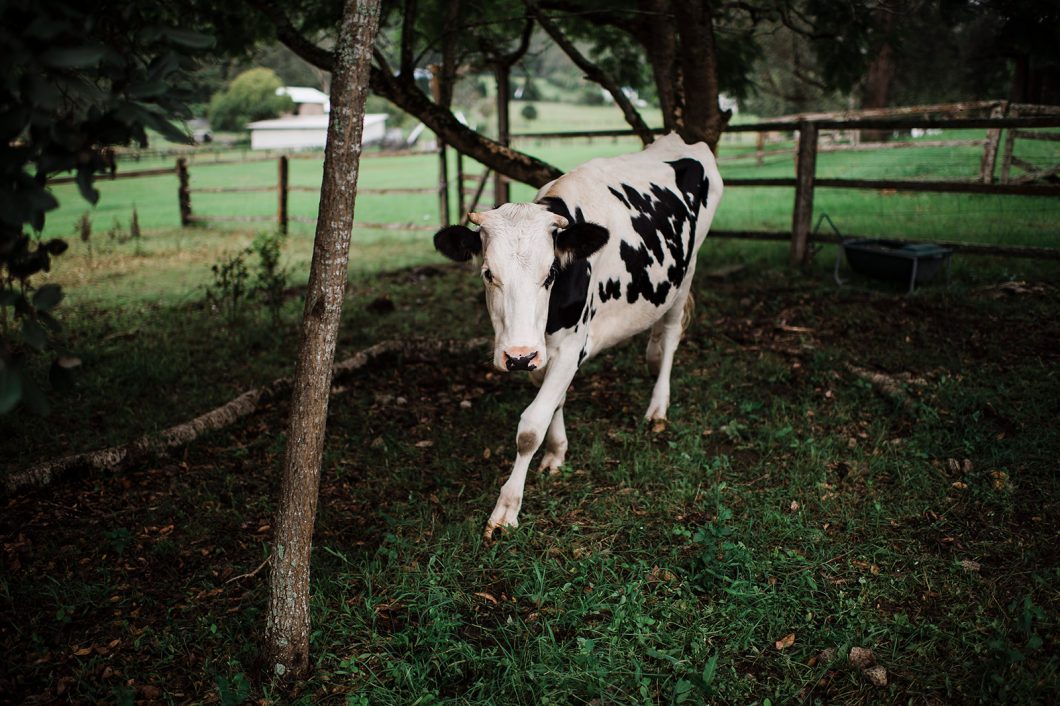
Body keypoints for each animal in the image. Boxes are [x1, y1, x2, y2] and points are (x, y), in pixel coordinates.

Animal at [430, 134, 720, 536]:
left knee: (673, 332)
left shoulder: (570, 345)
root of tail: (683, 139)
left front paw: (507, 509)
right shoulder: (541, 351)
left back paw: (658, 406)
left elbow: (530, 427)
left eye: (551, 272)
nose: (517, 356)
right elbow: (555, 400)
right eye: (488, 273)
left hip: (687, 270)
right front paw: (556, 452)